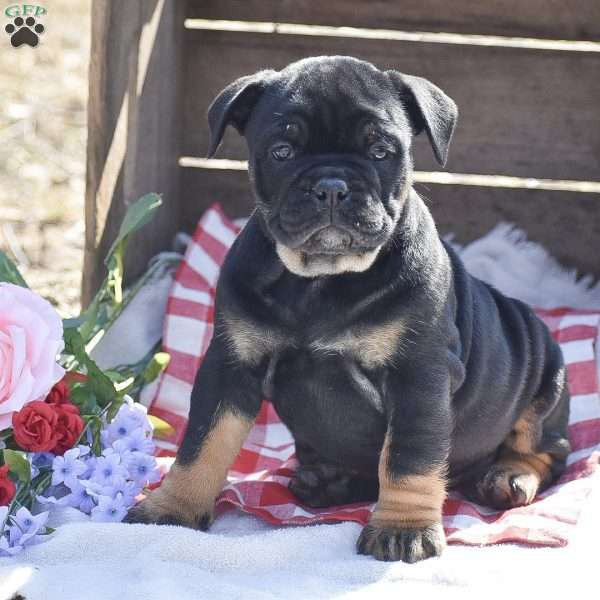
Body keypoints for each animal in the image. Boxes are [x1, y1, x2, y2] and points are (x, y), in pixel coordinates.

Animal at [127, 56, 572, 564]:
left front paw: (403, 528)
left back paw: (508, 476)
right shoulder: (230, 366)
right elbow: (204, 441)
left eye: (380, 151)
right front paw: (174, 507)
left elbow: (408, 458)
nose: (331, 185)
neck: (321, 279)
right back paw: (328, 480)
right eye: (282, 151)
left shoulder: (418, 376)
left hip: (546, 378)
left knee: (545, 448)